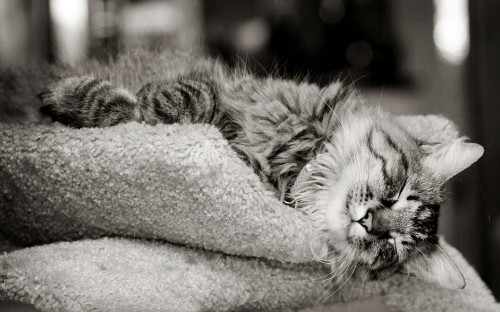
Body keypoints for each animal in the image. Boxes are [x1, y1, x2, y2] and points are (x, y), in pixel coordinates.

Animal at [32, 49, 484, 290]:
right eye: (395, 190)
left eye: (390, 246)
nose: (370, 222)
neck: (301, 163)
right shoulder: (224, 89)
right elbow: (181, 99)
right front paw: (64, 95)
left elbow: (148, 110)